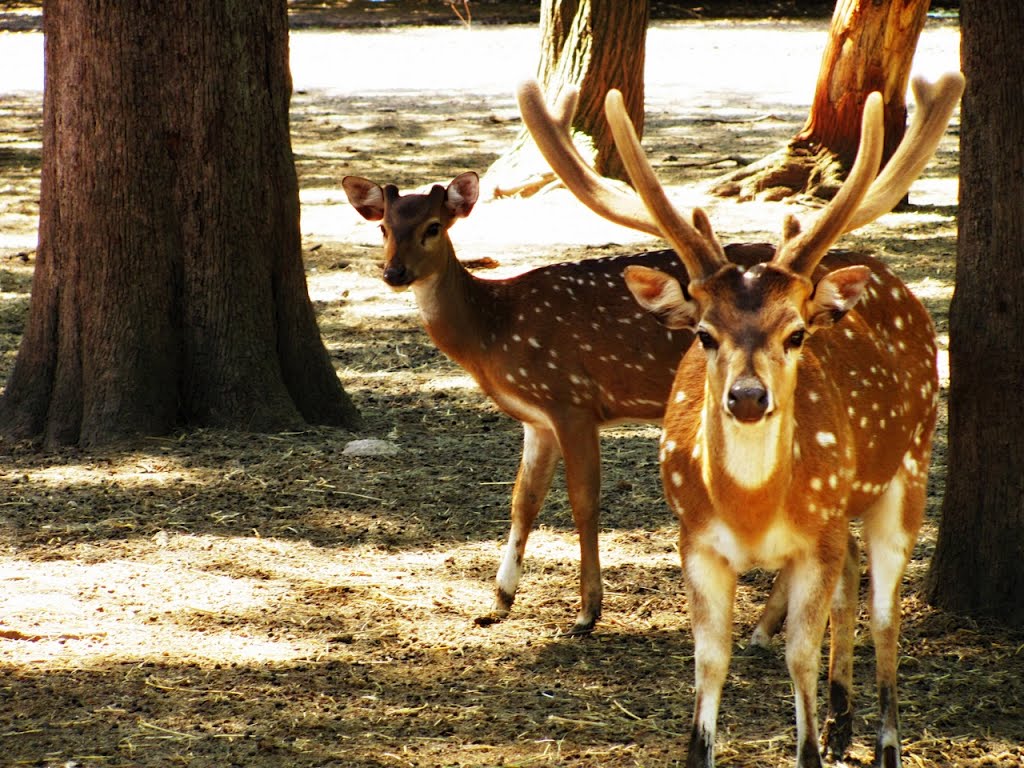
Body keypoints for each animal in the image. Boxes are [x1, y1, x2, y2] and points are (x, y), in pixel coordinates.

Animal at [516, 72, 962, 768]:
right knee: (855, 577)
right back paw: (842, 723)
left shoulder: (814, 540)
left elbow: (797, 655)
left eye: (797, 334)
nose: (748, 398)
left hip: (910, 464)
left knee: (886, 610)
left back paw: (884, 741)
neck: (753, 511)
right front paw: (709, 743)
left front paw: (810, 745)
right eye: (704, 334)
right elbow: (710, 661)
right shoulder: (696, 540)